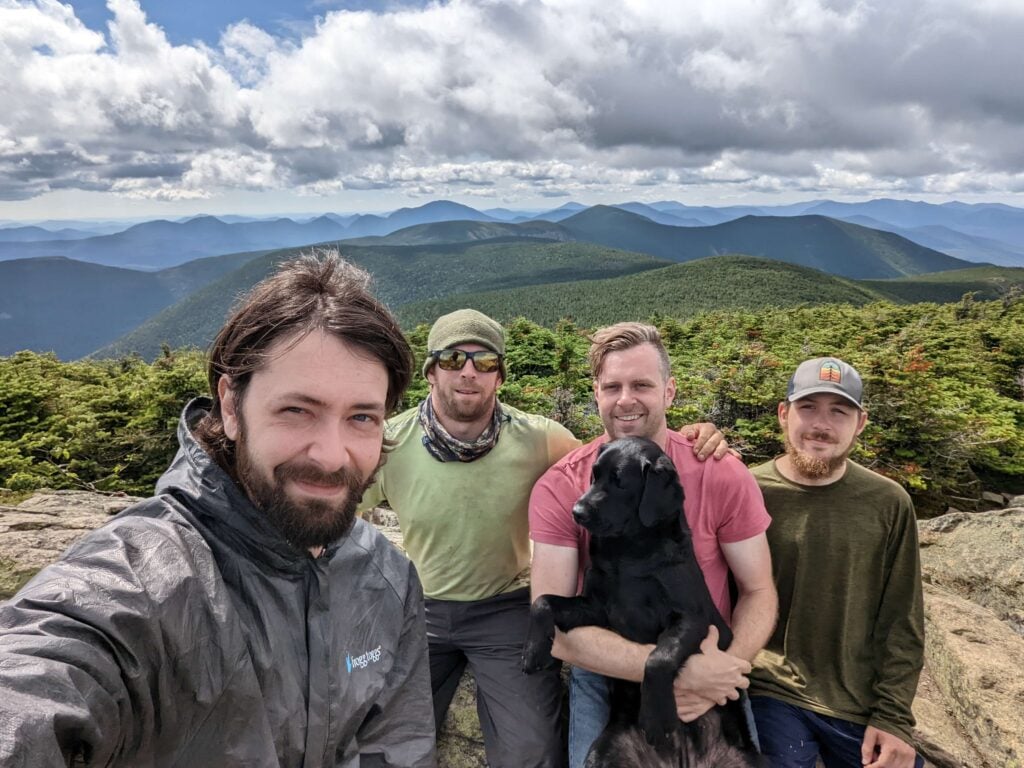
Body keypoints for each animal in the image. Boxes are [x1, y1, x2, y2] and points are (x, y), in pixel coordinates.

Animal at [528, 438, 761, 768]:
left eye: (620, 481)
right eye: (594, 475)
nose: (577, 511)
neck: (629, 553)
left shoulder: (692, 618)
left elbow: (658, 658)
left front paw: (656, 719)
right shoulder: (595, 608)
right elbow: (543, 601)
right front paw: (535, 650)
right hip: (601, 755)